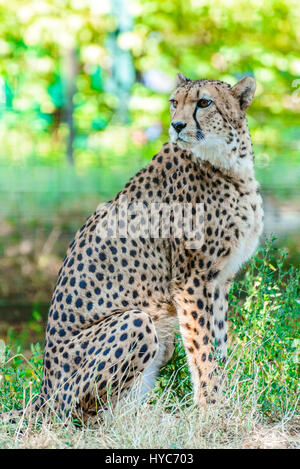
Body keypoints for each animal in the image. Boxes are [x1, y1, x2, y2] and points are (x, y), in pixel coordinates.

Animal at [7, 74, 264, 420]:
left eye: (204, 102)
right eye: (174, 102)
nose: (177, 125)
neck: (229, 162)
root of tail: (43, 391)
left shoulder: (219, 281)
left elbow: (218, 344)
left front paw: (226, 403)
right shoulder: (191, 280)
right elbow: (203, 350)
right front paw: (211, 409)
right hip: (136, 322)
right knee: (81, 415)